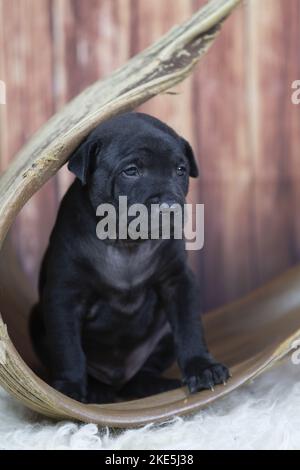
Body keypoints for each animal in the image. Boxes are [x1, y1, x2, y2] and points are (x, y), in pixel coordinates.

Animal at [30, 112, 229, 402]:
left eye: (180, 170)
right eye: (131, 171)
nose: (169, 207)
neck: (125, 243)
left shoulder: (178, 281)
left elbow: (189, 327)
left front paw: (202, 368)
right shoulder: (63, 295)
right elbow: (68, 348)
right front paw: (69, 389)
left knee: (144, 372)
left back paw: (151, 385)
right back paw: (98, 391)